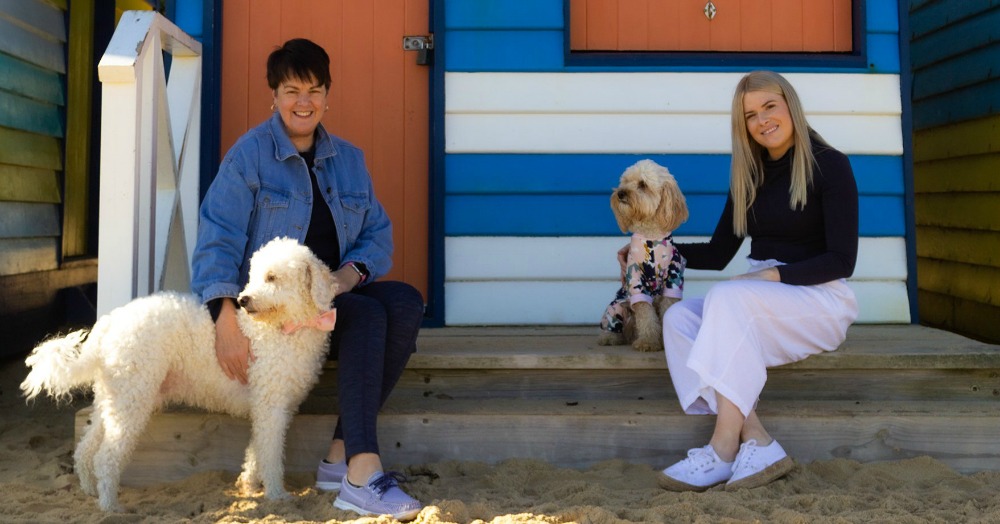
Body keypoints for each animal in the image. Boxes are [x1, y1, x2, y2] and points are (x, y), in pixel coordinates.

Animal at [19, 237, 338, 512]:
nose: (244, 299)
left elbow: (256, 451)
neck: (284, 327)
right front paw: (276, 495)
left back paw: (89, 491)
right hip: (132, 400)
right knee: (106, 457)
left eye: (271, 278)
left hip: (113, 399)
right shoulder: (271, 408)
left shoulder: (272, 409)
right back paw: (111, 507)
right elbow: (270, 455)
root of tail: (110, 322)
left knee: (85, 449)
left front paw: (249, 485)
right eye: (255, 276)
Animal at [600, 160, 688, 352]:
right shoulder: (636, 282)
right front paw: (648, 341)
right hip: (617, 307)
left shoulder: (673, 279)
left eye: (642, 184)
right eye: (625, 181)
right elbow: (646, 314)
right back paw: (609, 337)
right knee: (612, 325)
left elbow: (667, 310)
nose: (621, 193)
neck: (651, 239)